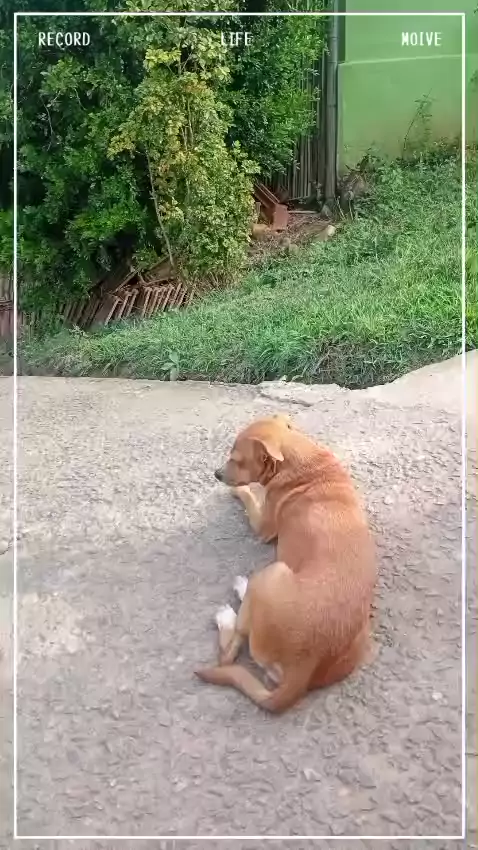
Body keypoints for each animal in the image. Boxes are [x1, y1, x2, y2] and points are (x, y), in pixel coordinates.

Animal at [195, 414, 377, 713]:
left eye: (237, 459)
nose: (217, 474)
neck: (306, 465)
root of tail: (303, 669)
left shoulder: (262, 526)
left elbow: (251, 497)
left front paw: (240, 489)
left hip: (272, 574)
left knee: (229, 653)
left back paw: (231, 606)